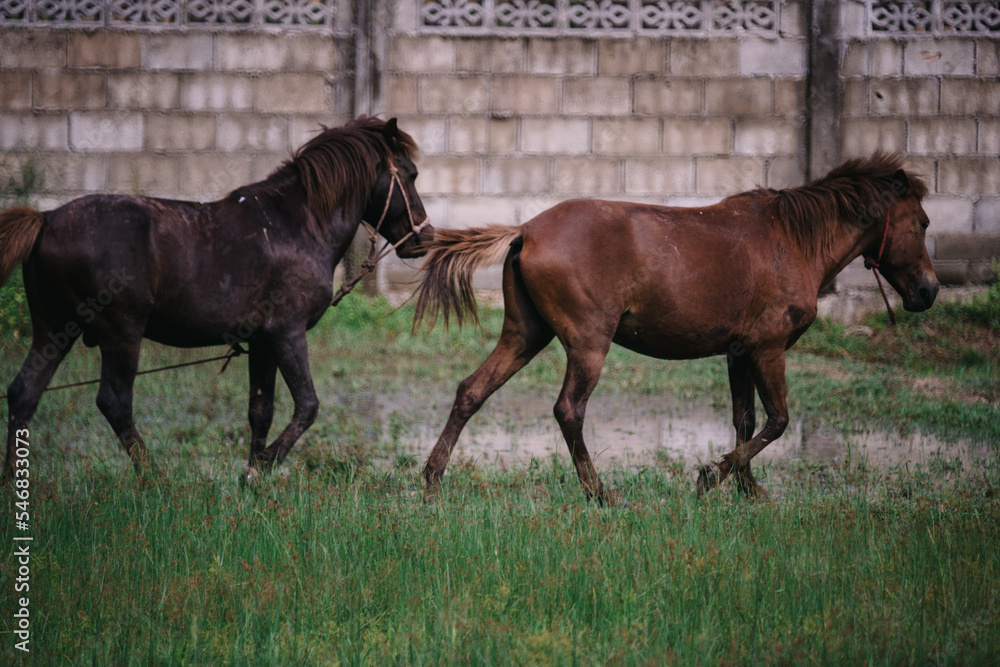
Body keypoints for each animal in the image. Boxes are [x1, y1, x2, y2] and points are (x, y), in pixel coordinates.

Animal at [0, 116, 433, 484]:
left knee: (24, 393)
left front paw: (252, 476)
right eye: (410, 174)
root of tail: (46, 220)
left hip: (54, 330)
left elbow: (261, 410)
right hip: (121, 333)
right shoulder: (287, 333)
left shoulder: (262, 341)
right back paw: (155, 479)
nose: (424, 240)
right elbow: (307, 406)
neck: (300, 223)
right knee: (114, 402)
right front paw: (263, 466)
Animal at [414, 152, 938, 503]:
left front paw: (749, 490)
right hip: (587, 344)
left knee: (472, 390)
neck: (793, 240)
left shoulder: (739, 352)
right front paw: (712, 477)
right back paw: (599, 493)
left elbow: (745, 419)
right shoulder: (768, 348)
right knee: (568, 410)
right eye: (923, 222)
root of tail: (525, 230)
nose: (929, 291)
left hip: (525, 334)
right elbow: (778, 420)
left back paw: (432, 481)